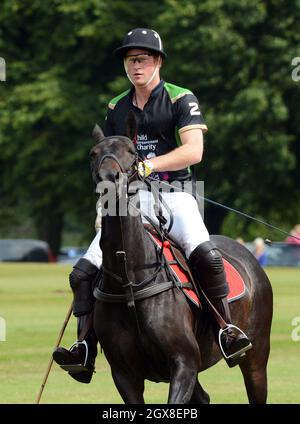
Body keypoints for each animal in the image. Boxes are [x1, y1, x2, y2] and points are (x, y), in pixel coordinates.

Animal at [89, 121, 274, 406]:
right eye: (93, 153)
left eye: (131, 151)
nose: (109, 178)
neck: (130, 281)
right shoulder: (124, 374)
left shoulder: (184, 363)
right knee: (203, 398)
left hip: (257, 354)